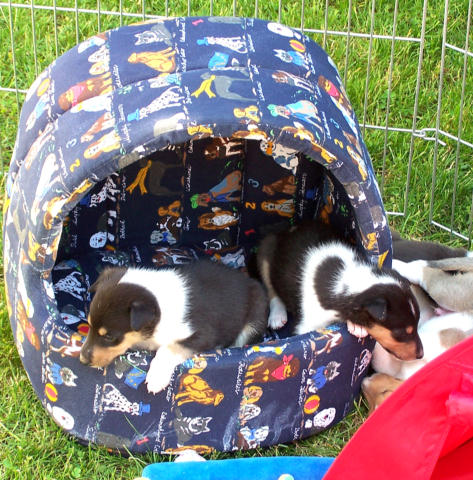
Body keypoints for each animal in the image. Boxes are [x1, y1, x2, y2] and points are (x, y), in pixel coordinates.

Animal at [80, 261, 268, 394]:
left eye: (109, 336)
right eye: (88, 325)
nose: (82, 360)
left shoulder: (202, 334)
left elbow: (168, 349)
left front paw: (156, 379)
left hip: (253, 321)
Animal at [256, 220, 423, 361]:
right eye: (402, 333)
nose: (421, 355)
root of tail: (285, 230)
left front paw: (357, 326)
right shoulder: (307, 326)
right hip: (265, 250)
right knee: (271, 290)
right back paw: (277, 316)